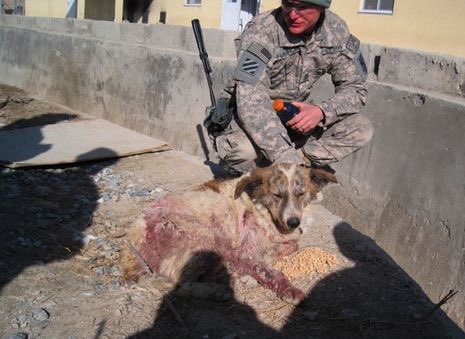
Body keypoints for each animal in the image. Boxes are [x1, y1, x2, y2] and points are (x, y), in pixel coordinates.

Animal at [121, 163, 336, 304]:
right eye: (277, 195)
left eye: (301, 194)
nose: (294, 222)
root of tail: (130, 246)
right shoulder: (246, 252)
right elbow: (273, 272)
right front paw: (290, 290)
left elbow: (291, 245)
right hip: (206, 239)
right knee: (179, 283)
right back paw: (220, 288)